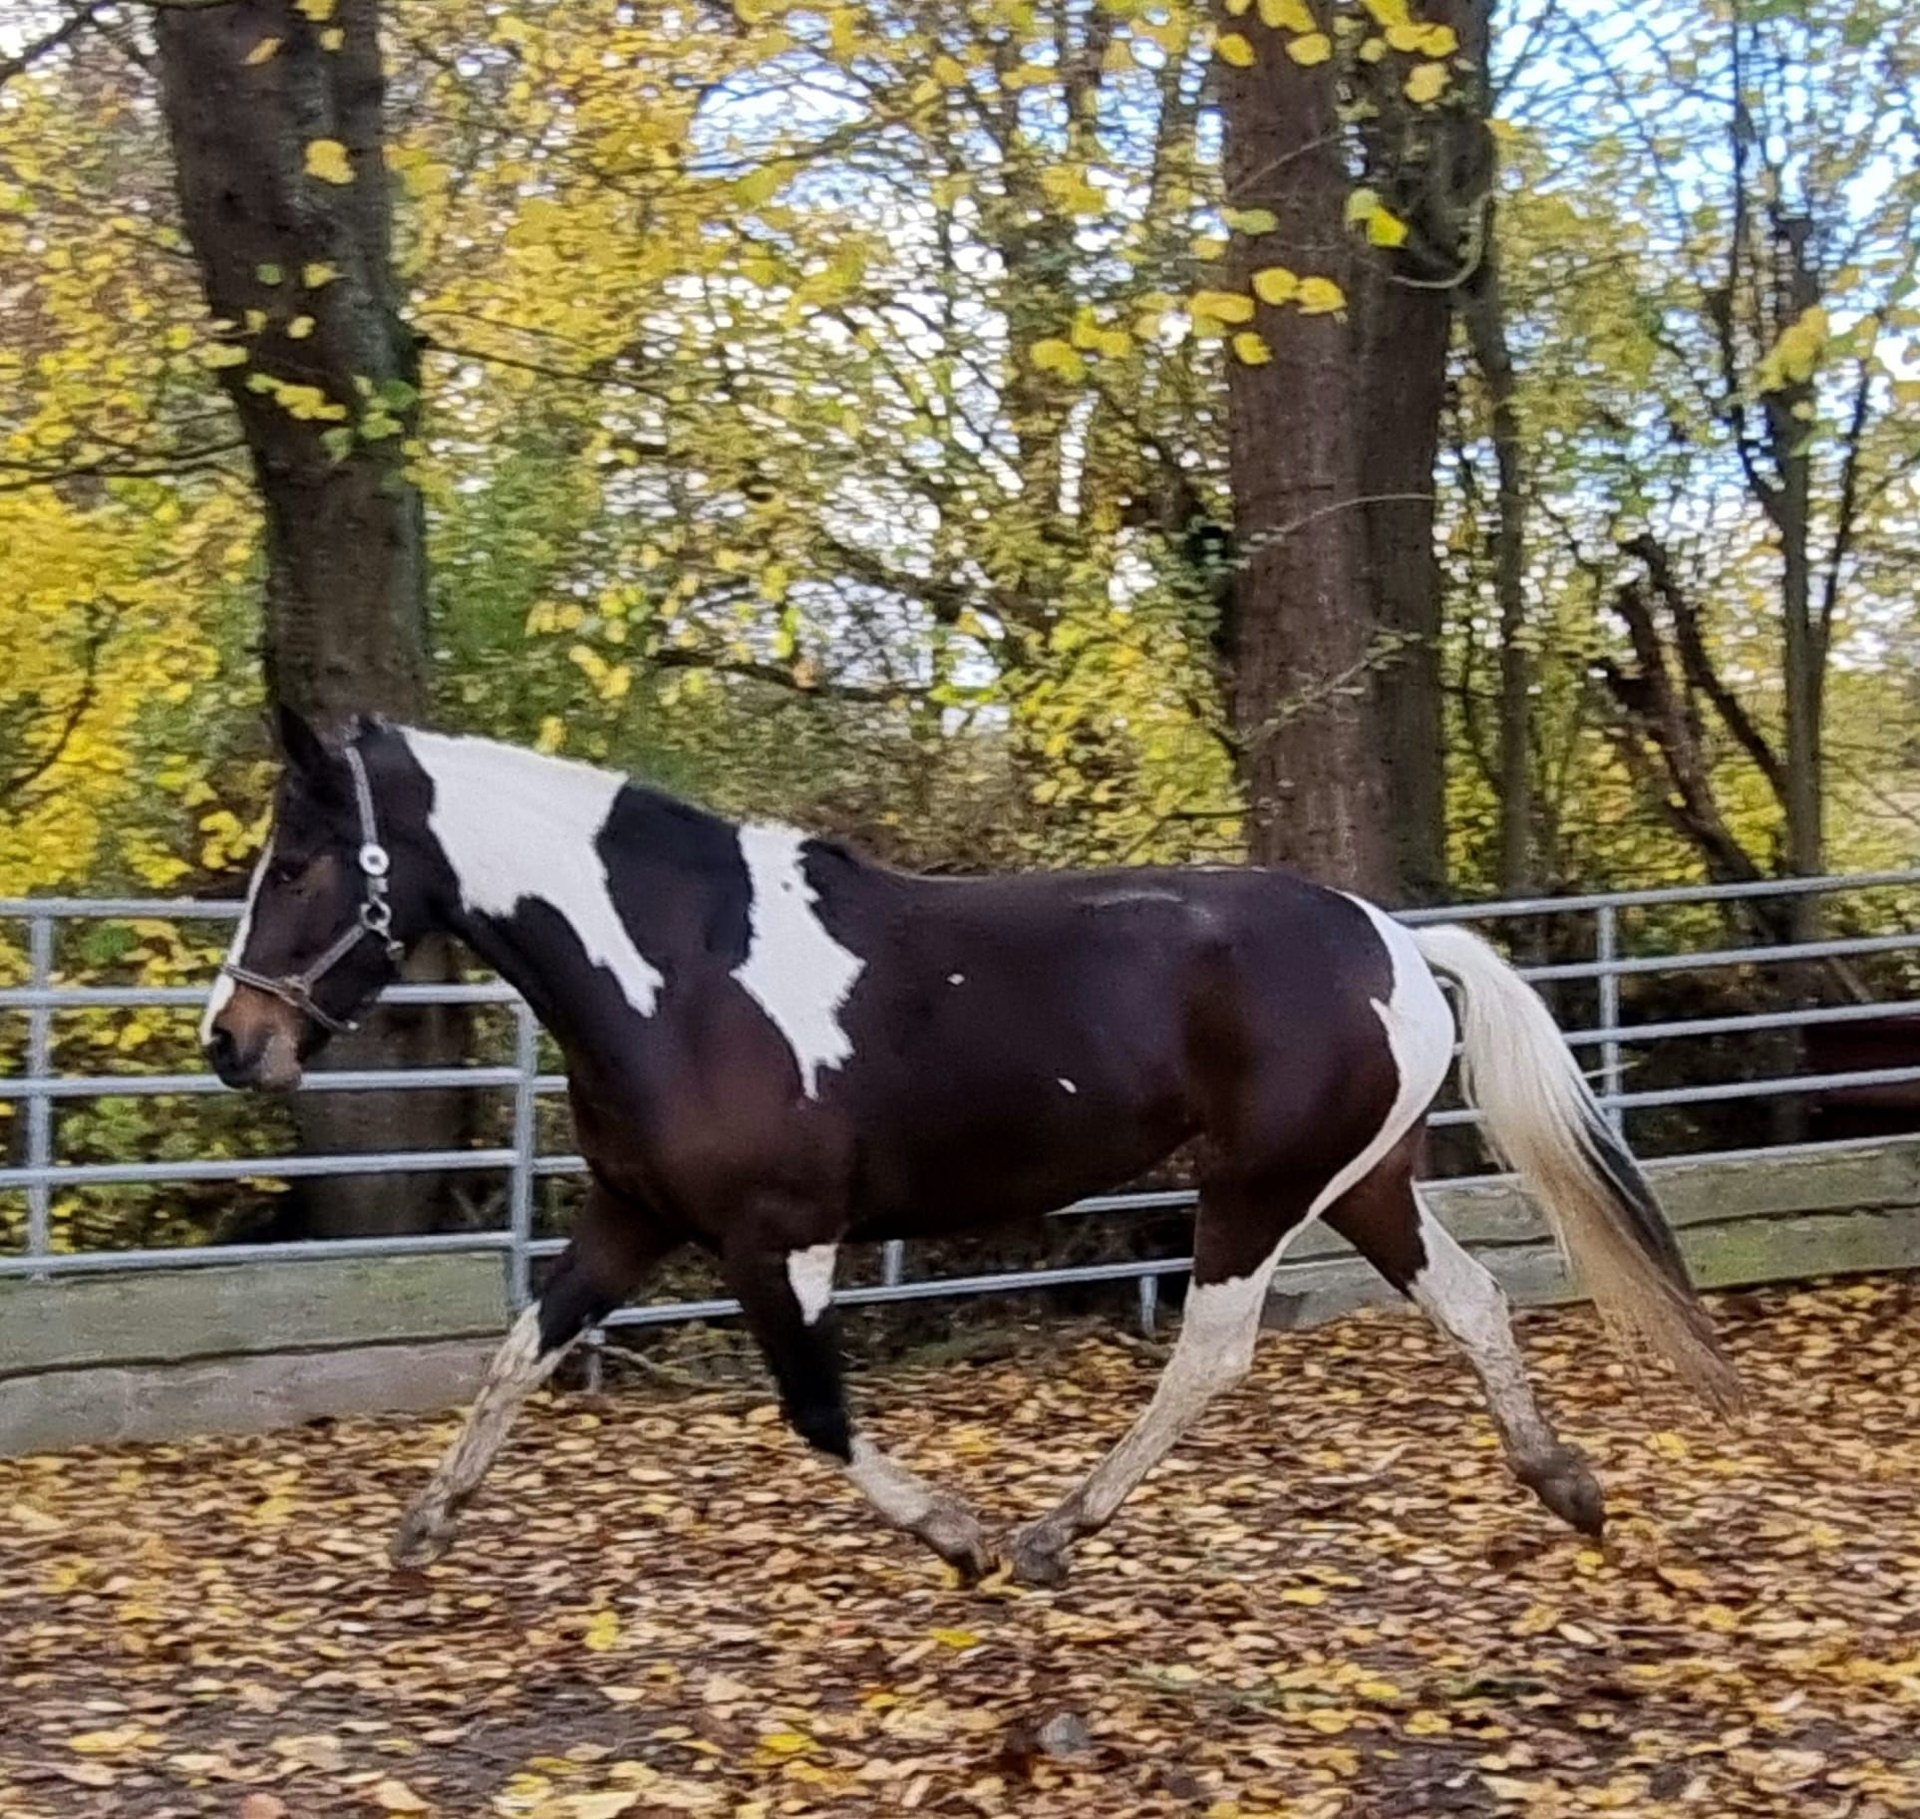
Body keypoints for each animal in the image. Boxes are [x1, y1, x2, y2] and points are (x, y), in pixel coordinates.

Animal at [201, 709, 1741, 1587]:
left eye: (297, 859)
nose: (234, 1040)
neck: (680, 971)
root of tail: (1400, 944)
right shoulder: (634, 1216)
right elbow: (519, 1351)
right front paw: (424, 1526)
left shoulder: (778, 1238)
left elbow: (818, 1412)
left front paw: (960, 1536)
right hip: (1363, 1181)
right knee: (1471, 1301)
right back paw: (1567, 1487)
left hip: (1261, 1187)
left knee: (1214, 1348)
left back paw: (1058, 1532)